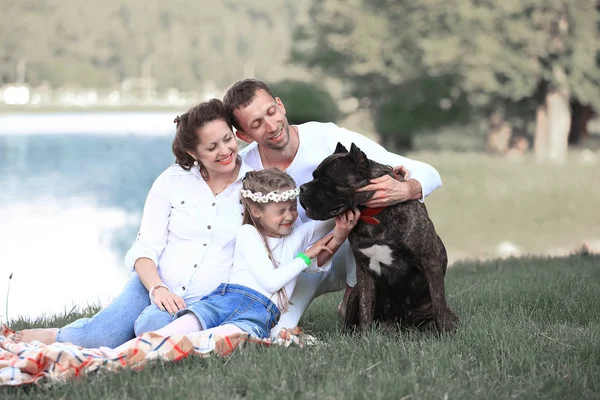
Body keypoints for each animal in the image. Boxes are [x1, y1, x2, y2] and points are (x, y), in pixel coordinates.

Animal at [300, 142, 460, 332]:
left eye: (325, 179)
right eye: (314, 175)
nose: (302, 188)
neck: (372, 213)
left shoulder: (430, 262)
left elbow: (438, 302)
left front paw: (446, 332)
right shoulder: (364, 271)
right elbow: (365, 308)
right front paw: (365, 335)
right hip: (356, 293)